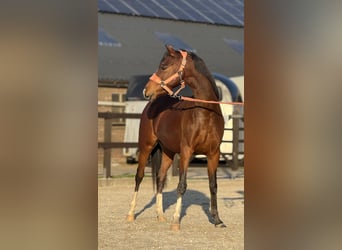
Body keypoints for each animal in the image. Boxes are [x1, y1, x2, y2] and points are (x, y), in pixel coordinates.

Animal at [127, 45, 226, 230]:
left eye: (163, 66)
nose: (146, 90)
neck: (205, 114)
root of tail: (153, 102)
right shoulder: (186, 152)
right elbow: (182, 185)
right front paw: (175, 221)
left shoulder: (213, 154)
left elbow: (213, 186)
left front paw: (217, 220)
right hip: (146, 147)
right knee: (139, 176)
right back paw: (130, 214)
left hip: (167, 152)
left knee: (160, 178)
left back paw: (160, 215)